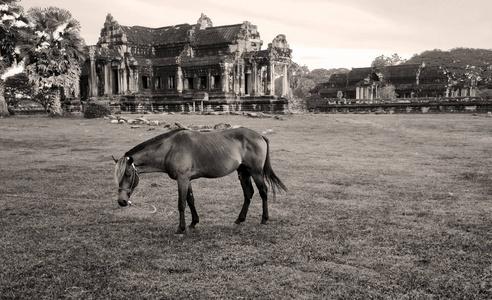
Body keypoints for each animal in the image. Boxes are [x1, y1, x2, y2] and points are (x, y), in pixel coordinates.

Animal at [113, 126, 286, 234]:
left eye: (128, 175)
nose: (121, 201)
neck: (171, 147)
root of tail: (259, 135)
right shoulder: (187, 179)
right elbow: (190, 200)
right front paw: (193, 222)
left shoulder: (182, 179)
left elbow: (181, 203)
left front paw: (181, 228)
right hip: (244, 172)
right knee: (248, 193)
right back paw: (240, 219)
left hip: (256, 172)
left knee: (263, 192)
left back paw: (264, 219)